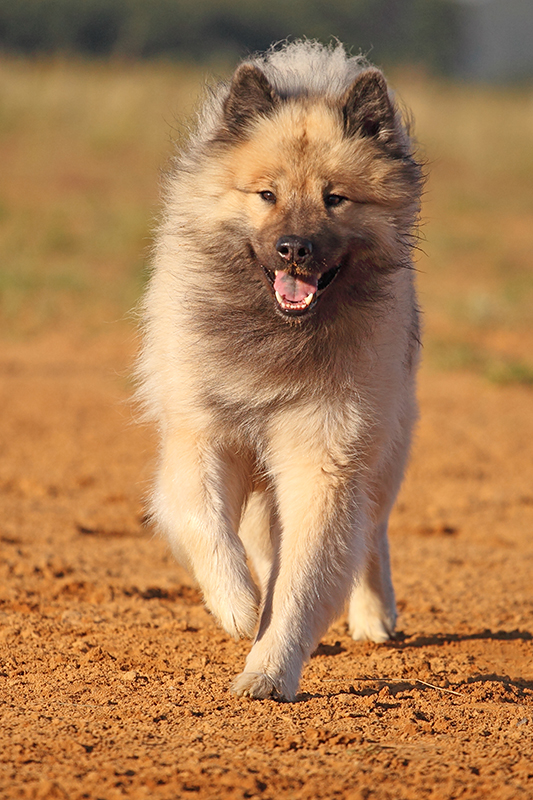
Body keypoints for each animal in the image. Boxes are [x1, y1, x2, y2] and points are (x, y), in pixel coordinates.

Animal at [138, 40, 424, 700]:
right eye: (266, 195)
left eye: (335, 198)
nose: (295, 248)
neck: (280, 334)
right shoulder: (201, 436)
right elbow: (202, 520)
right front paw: (238, 606)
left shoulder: (324, 459)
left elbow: (305, 580)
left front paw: (268, 670)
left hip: (386, 450)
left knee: (372, 535)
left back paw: (375, 617)